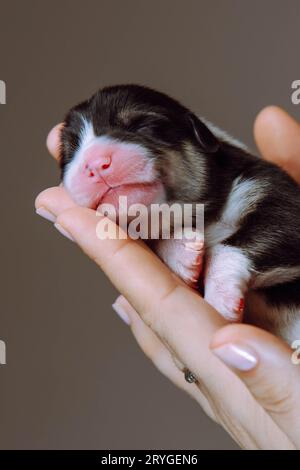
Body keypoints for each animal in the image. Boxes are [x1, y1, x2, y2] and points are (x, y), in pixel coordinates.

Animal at [59, 83, 300, 342]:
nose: (95, 164)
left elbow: (233, 245)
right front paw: (182, 249)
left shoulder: (274, 194)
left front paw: (220, 298)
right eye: (71, 152)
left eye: (143, 125)